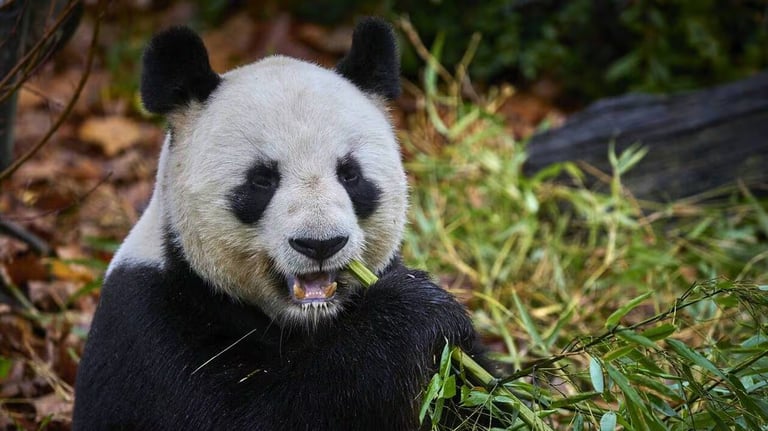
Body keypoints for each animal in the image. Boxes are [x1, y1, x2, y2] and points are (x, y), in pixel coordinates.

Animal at [73, 18, 482, 431]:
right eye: (261, 180)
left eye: (350, 174)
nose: (321, 243)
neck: (309, 321)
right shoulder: (154, 325)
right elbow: (263, 412)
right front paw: (413, 308)